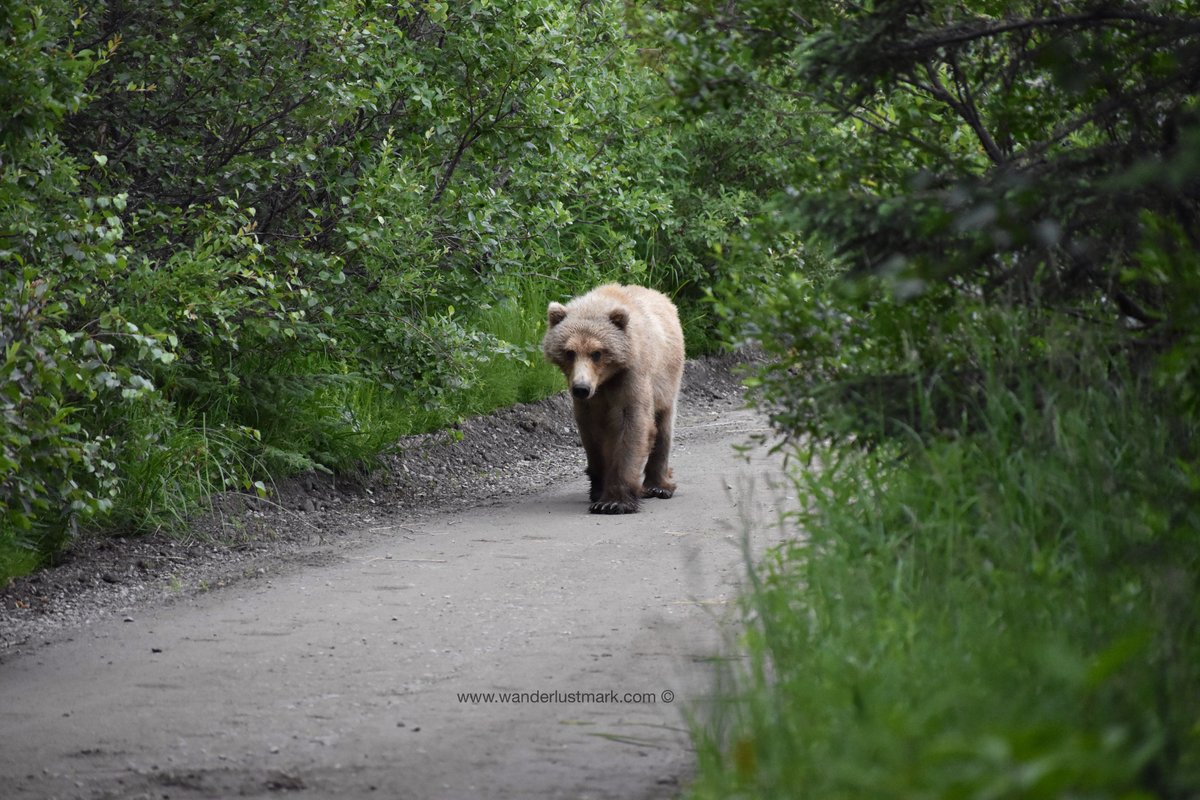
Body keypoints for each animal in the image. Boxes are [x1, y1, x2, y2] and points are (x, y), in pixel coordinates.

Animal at [542, 284, 685, 514]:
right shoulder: (591, 401)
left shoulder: (631, 377)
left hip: (668, 381)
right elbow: (592, 435)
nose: (581, 388)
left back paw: (659, 486)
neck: (605, 380)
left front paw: (613, 501)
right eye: (570, 352)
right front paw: (598, 491)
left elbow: (633, 426)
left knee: (664, 428)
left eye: (596, 352)